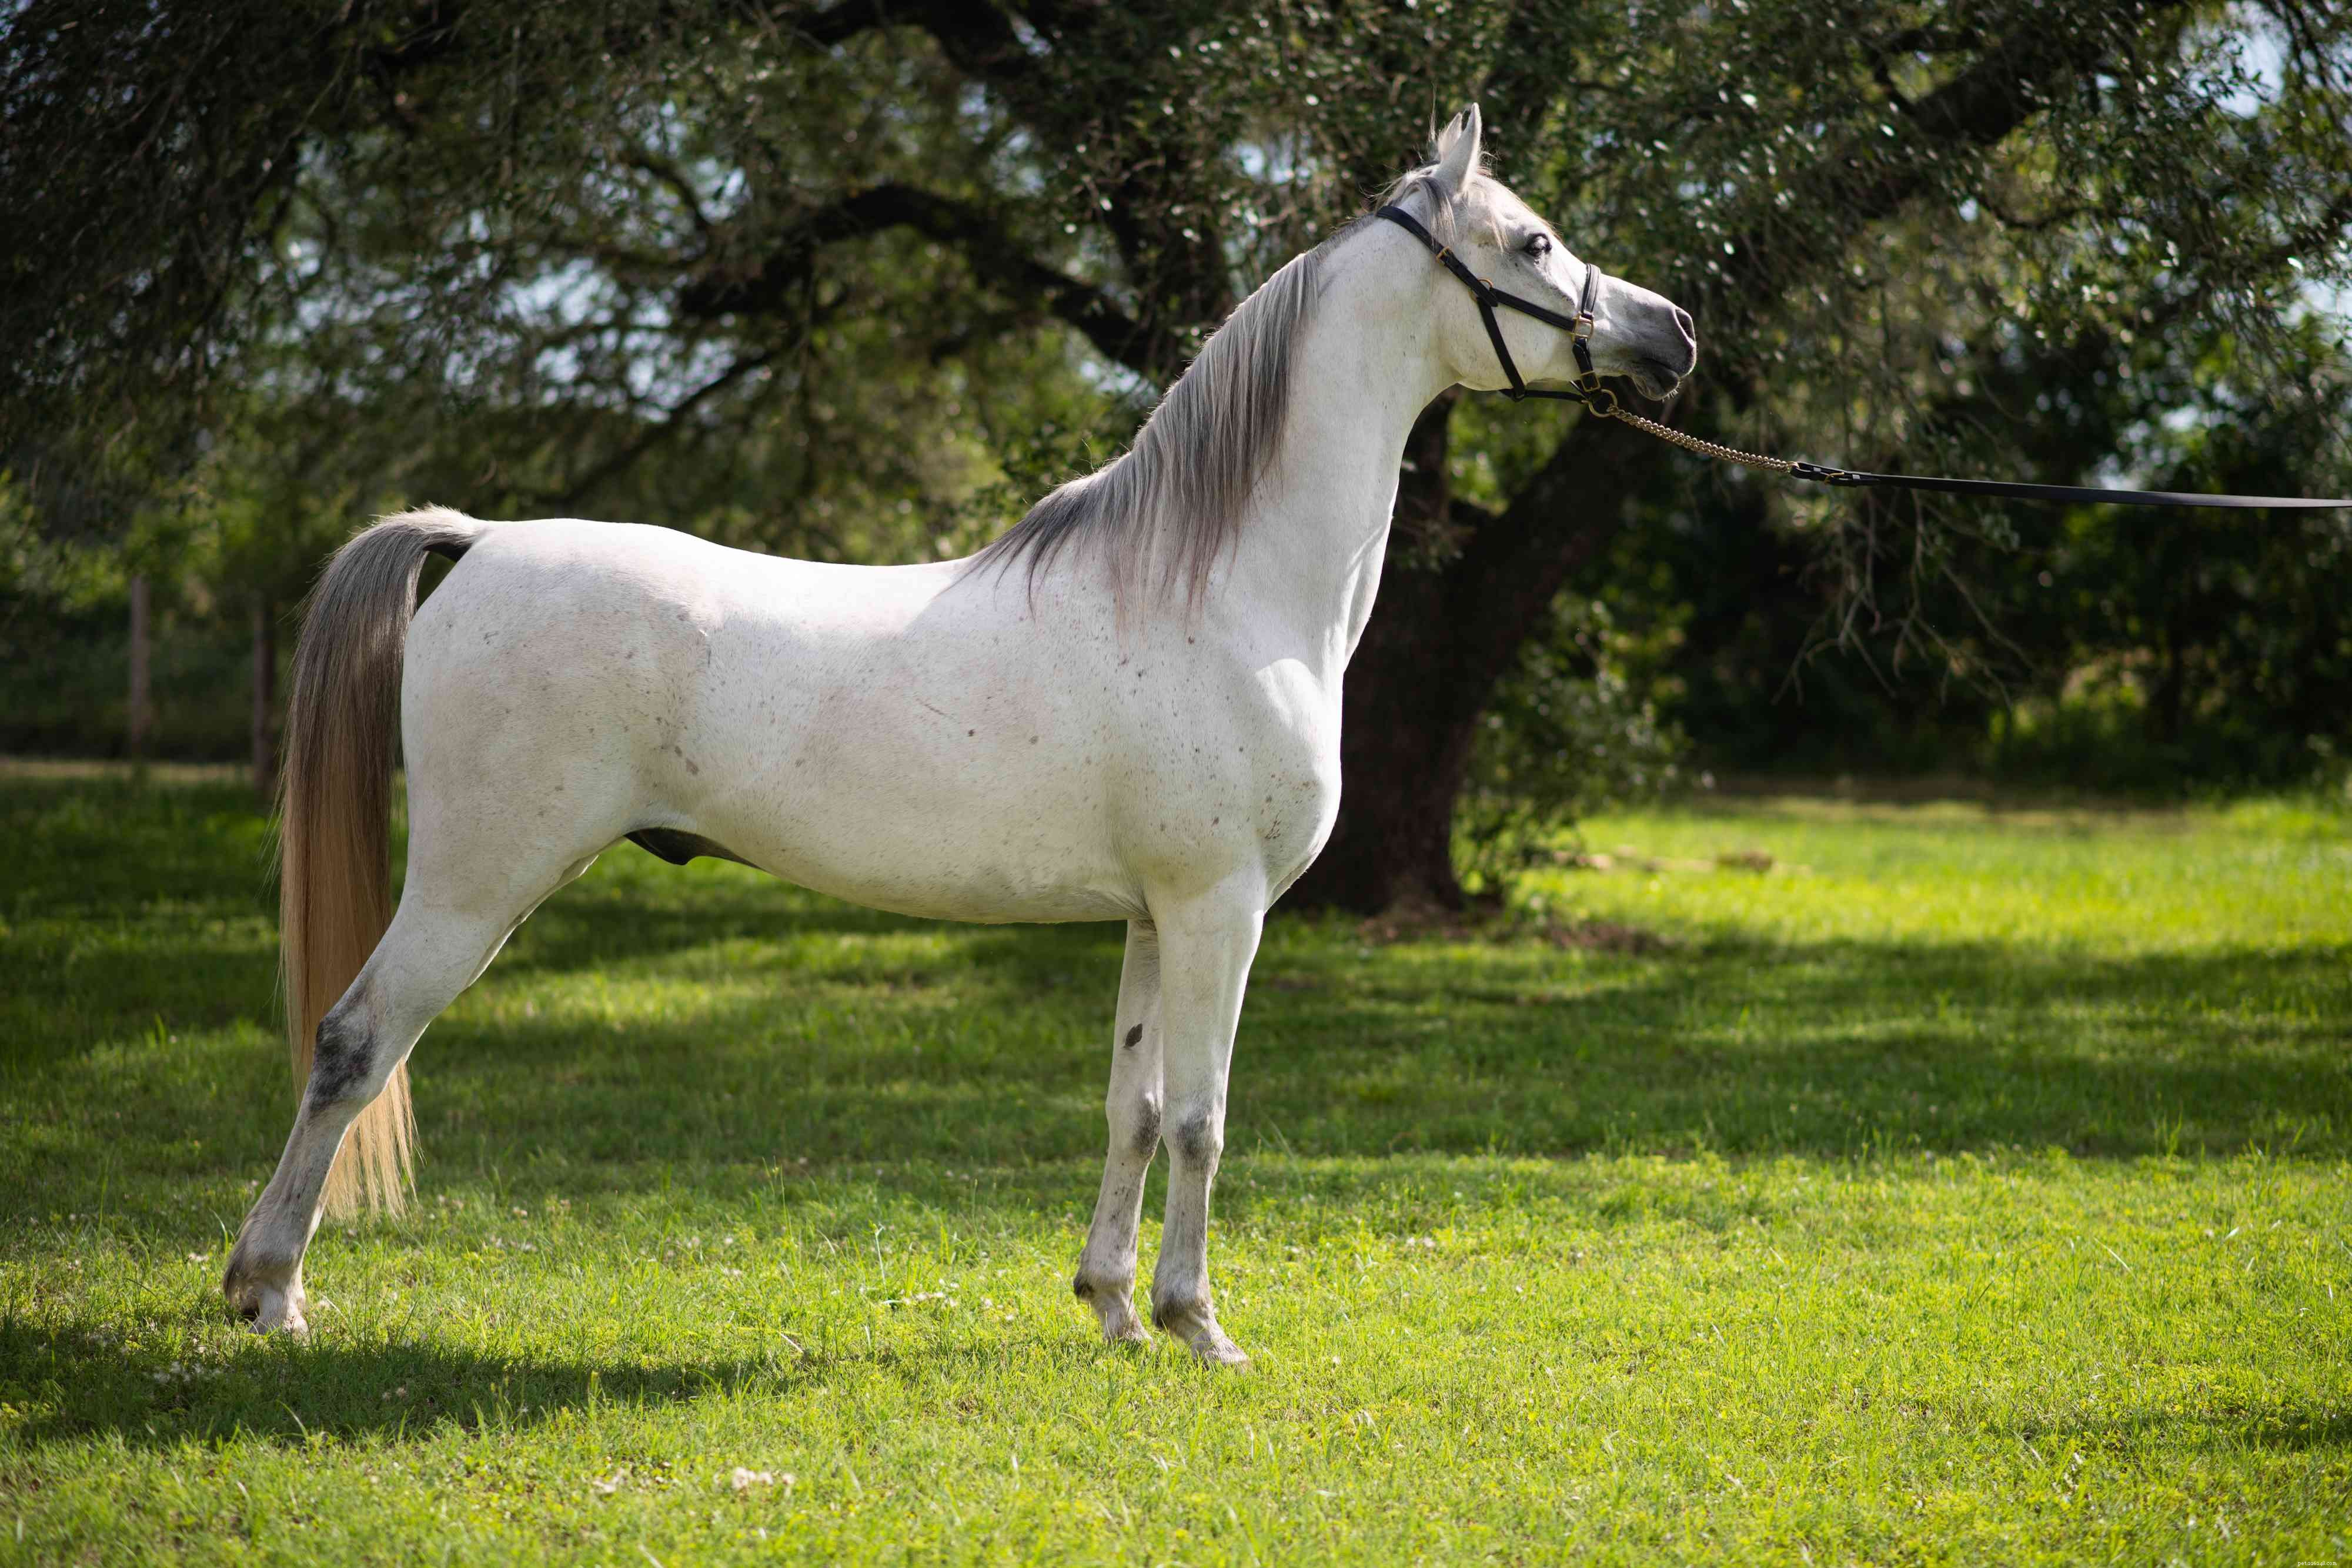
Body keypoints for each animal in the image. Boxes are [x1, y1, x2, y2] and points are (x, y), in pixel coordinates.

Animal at [223, 105, 1697, 1365]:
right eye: (1531, 242)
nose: (1674, 330)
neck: (1221, 583)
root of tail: (478, 540)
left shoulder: (1152, 916)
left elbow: (1133, 1107)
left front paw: (1112, 1308)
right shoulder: (1219, 909)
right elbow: (1203, 1120)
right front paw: (1197, 1324)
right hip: (473, 886)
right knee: (352, 1044)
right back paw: (270, 1291)